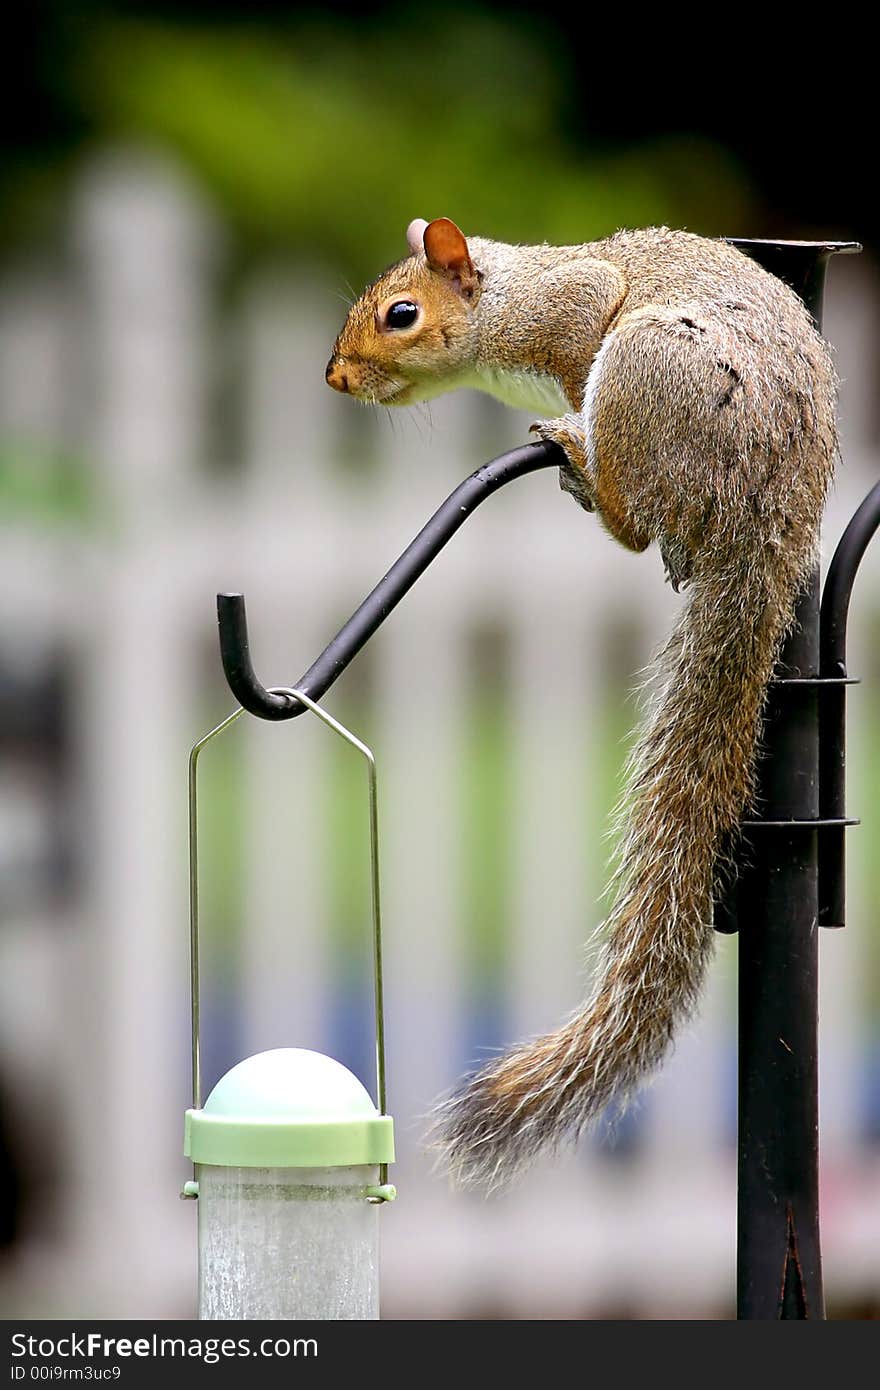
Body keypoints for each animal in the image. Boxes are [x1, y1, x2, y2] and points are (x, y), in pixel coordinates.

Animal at [323, 219, 839, 1195]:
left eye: (401, 314)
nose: (335, 378)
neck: (502, 296)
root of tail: (769, 514)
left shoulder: (569, 309)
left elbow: (579, 328)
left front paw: (565, 417)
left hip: (645, 371)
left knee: (634, 520)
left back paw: (584, 456)